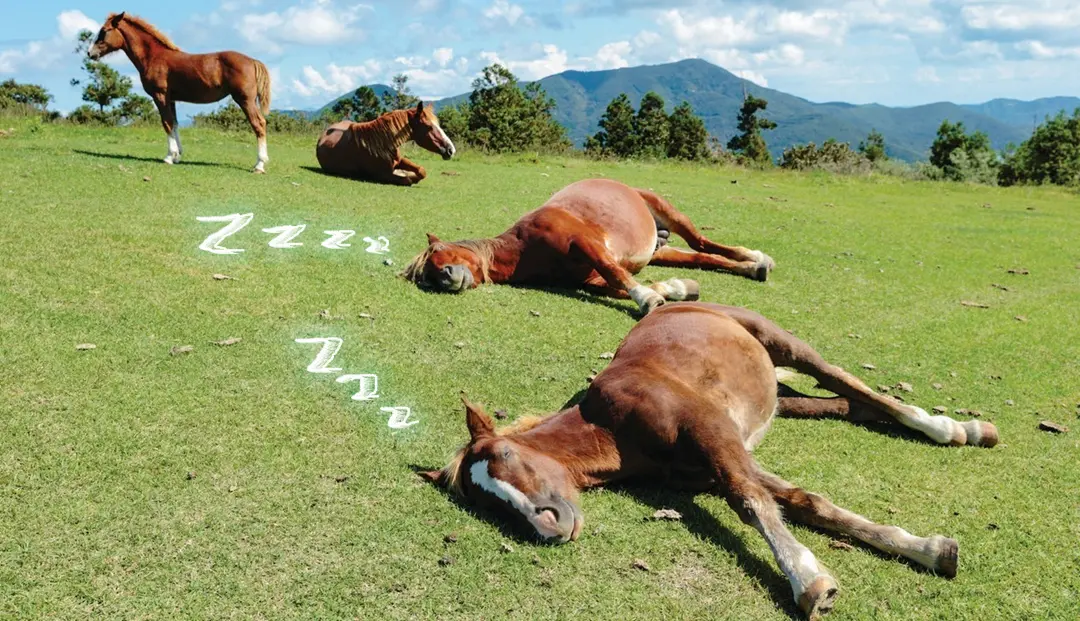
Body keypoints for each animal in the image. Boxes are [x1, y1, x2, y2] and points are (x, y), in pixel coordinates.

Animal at [89, 12, 274, 172]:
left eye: (104, 31)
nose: (90, 53)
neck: (153, 57)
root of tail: (252, 61)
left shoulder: (160, 96)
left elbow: (167, 123)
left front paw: (169, 157)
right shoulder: (171, 99)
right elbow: (175, 124)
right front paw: (177, 156)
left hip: (245, 100)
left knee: (258, 124)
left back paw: (259, 165)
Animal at [317, 100, 457, 184]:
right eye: (429, 127)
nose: (451, 150)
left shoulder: (400, 160)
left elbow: (421, 171)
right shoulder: (382, 175)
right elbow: (408, 180)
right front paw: (407, 175)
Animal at [401, 178, 773, 315]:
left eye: (437, 254)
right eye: (427, 278)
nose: (445, 277)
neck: (524, 249)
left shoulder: (587, 243)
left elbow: (616, 273)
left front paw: (648, 298)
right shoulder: (587, 279)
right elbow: (616, 284)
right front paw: (675, 289)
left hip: (668, 211)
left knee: (702, 242)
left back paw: (755, 257)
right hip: (662, 251)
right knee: (701, 256)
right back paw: (752, 267)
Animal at [419, 302, 993, 617]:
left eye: (506, 453)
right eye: (486, 503)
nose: (549, 525)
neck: (613, 425)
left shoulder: (713, 434)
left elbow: (752, 501)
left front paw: (810, 583)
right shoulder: (710, 466)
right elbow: (803, 501)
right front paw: (929, 549)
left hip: (785, 345)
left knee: (852, 386)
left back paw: (951, 428)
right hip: (775, 396)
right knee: (844, 404)